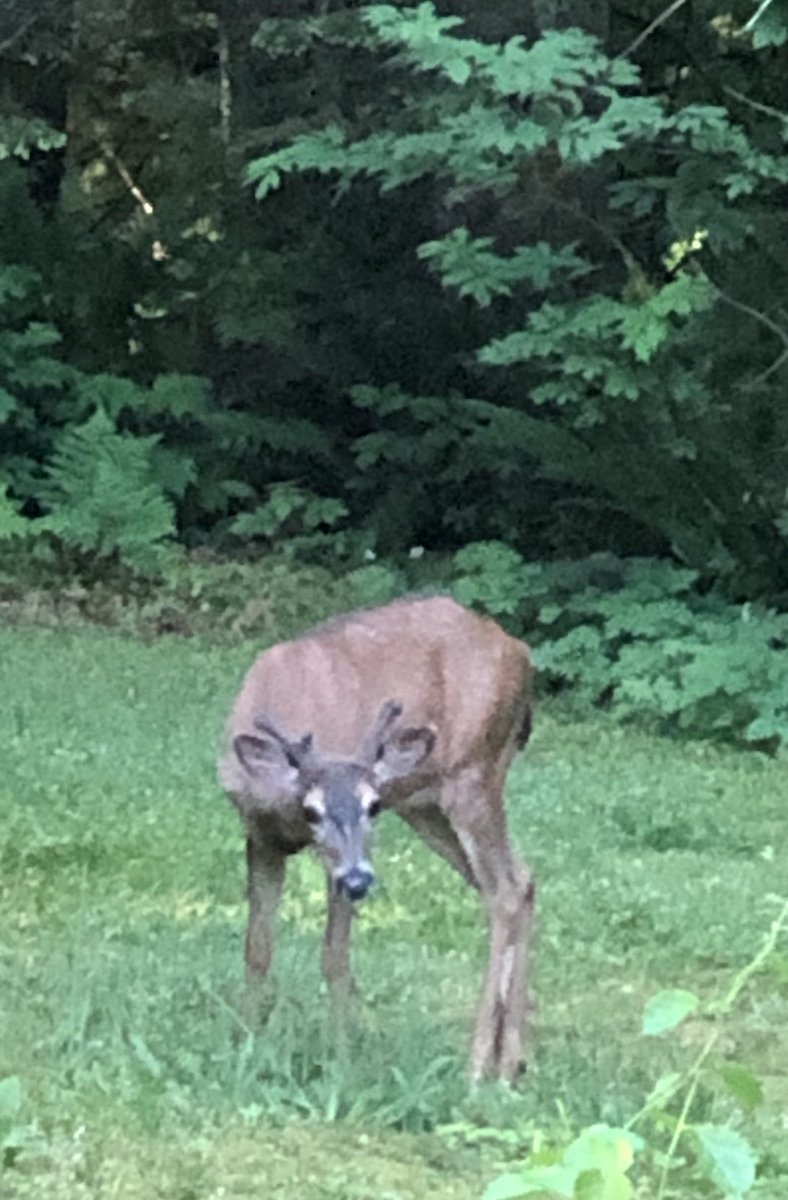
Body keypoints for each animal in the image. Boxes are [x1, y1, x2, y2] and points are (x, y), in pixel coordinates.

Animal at [217, 594, 535, 1082]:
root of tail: (519, 650)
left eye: (372, 805)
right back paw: (512, 1061)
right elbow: (257, 948)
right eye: (312, 810)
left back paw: (480, 1066)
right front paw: (247, 1042)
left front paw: (340, 1054)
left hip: (474, 775)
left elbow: (334, 956)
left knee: (505, 891)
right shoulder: (259, 836)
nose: (360, 880)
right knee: (521, 878)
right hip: (425, 805)